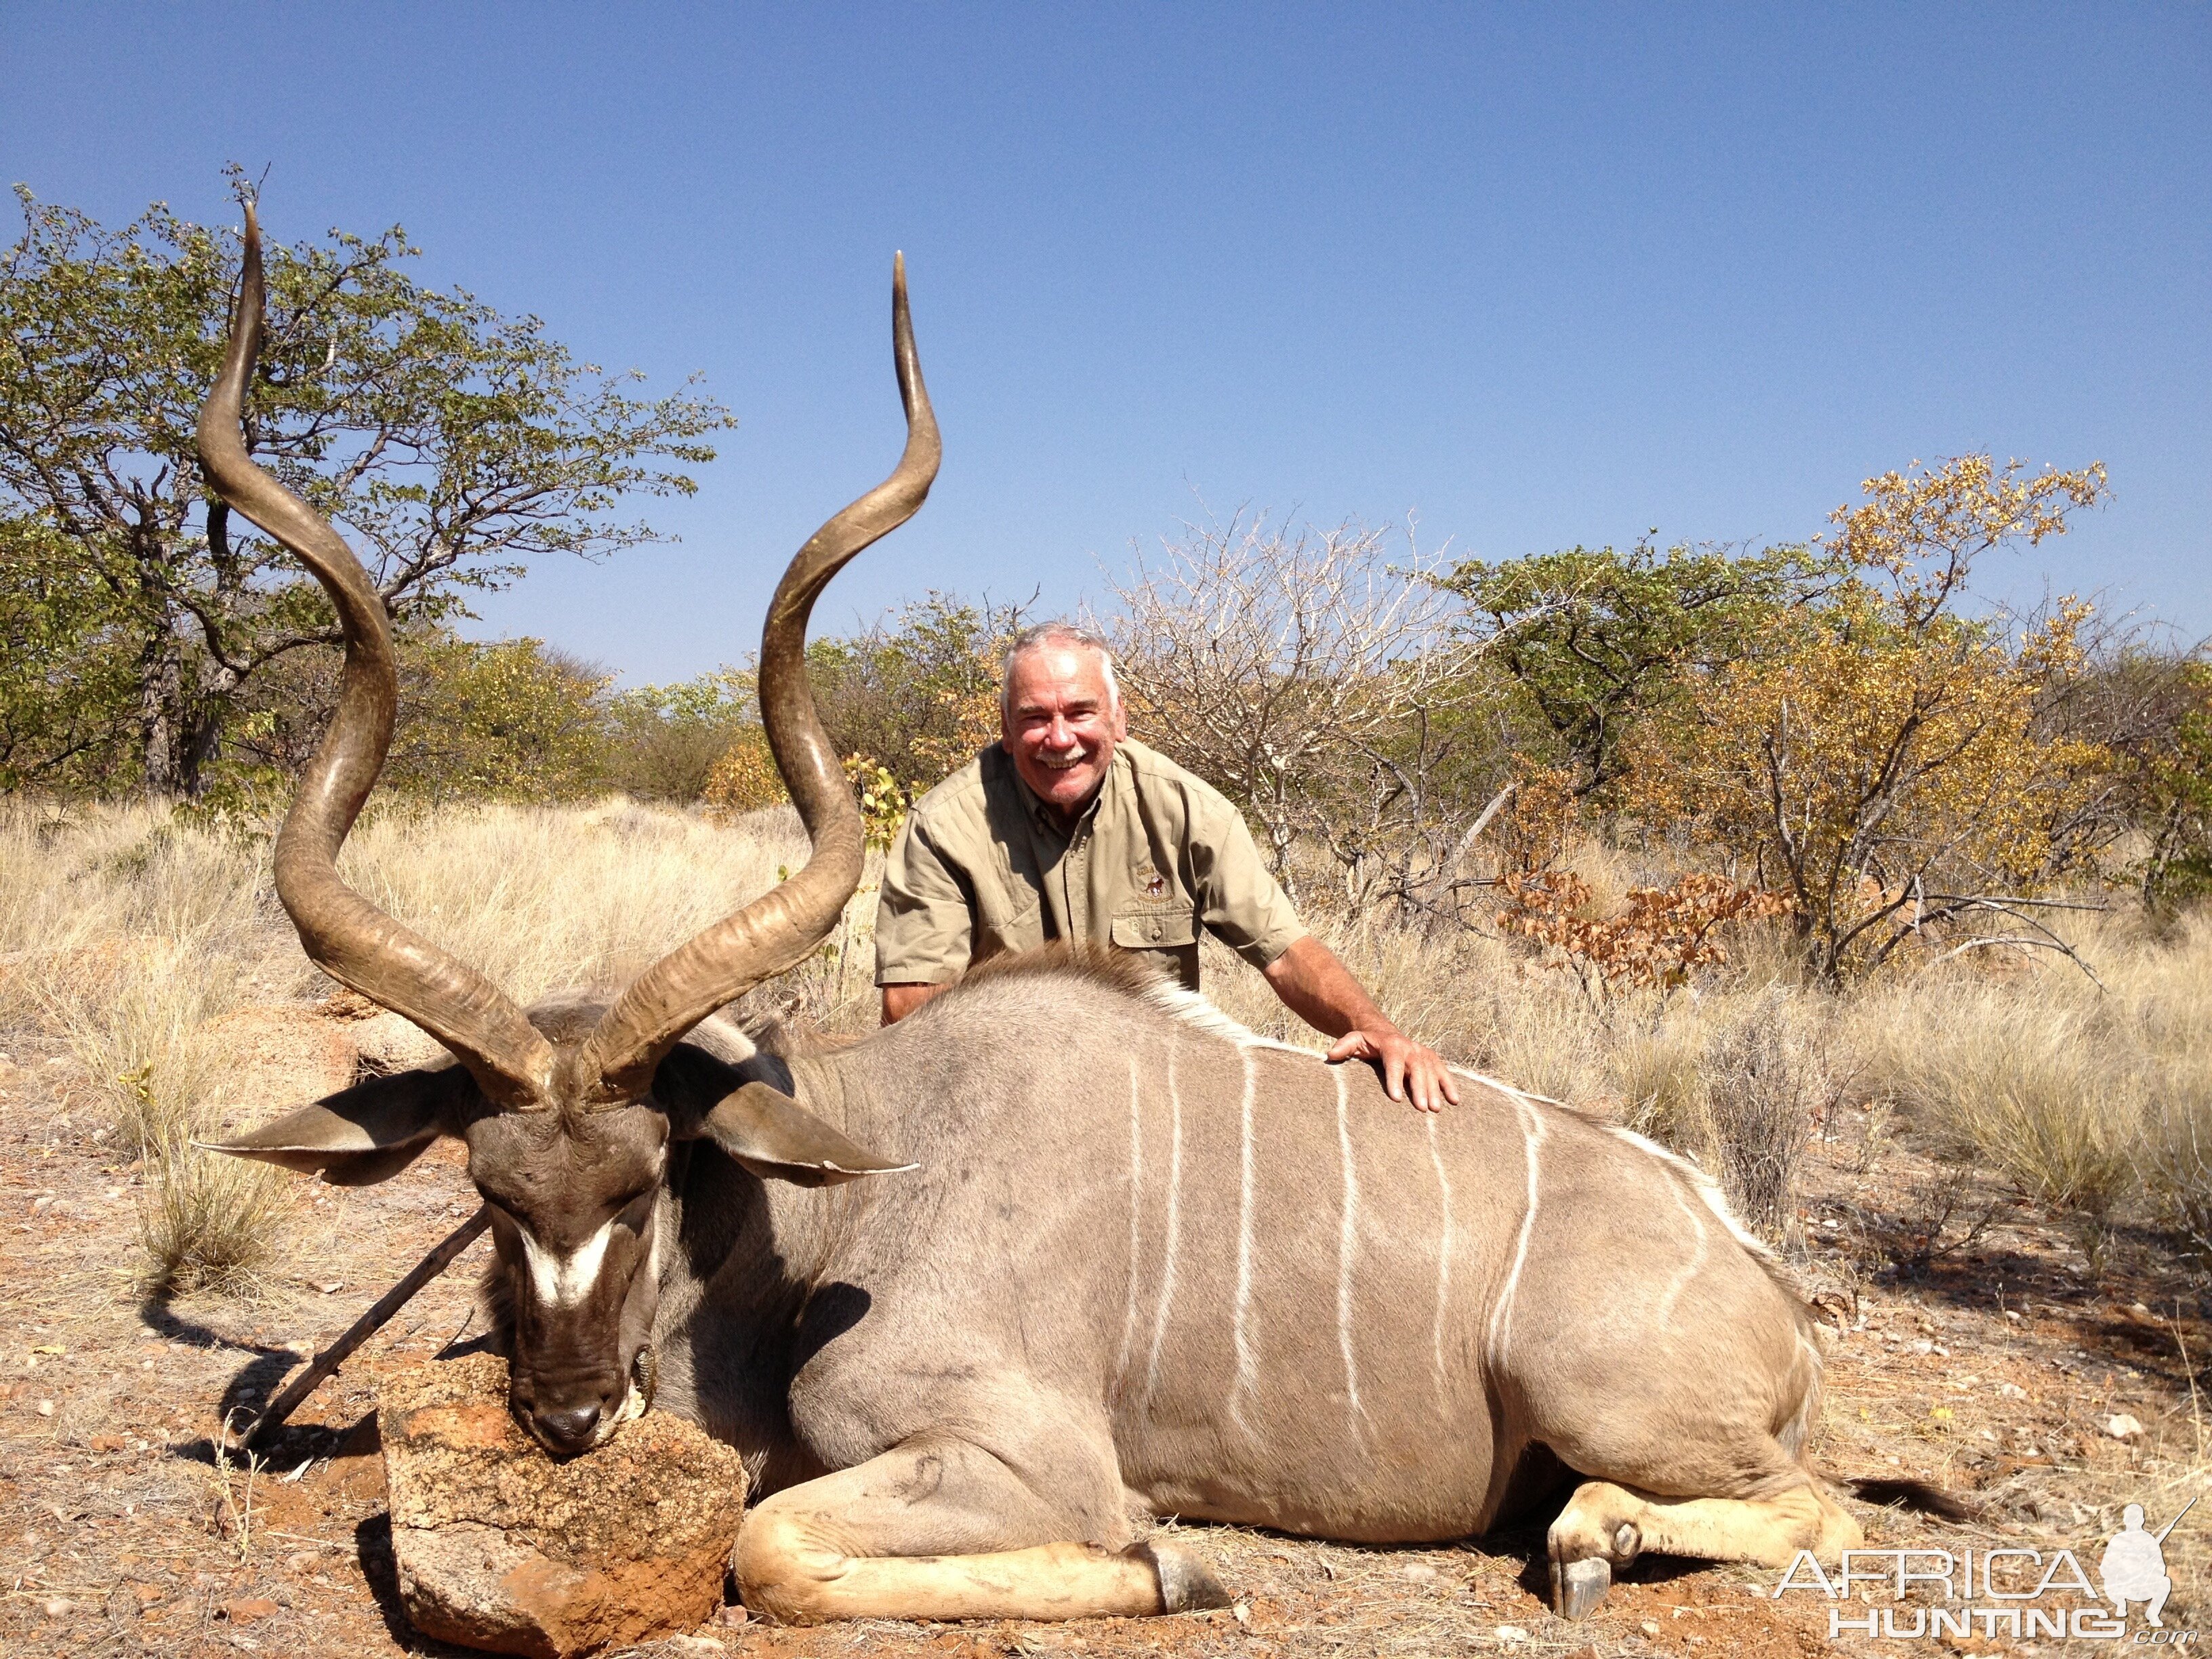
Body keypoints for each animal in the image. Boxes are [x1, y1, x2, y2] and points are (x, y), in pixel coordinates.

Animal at [199, 214, 1875, 1628]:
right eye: (488, 1187)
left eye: (646, 1170)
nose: (564, 1414)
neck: (849, 1199)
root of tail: (1764, 1285)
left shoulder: (1023, 1455)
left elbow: (775, 1545)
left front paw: (1175, 1565)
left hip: (1602, 1392)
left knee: (1826, 1511)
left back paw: (1592, 1542)